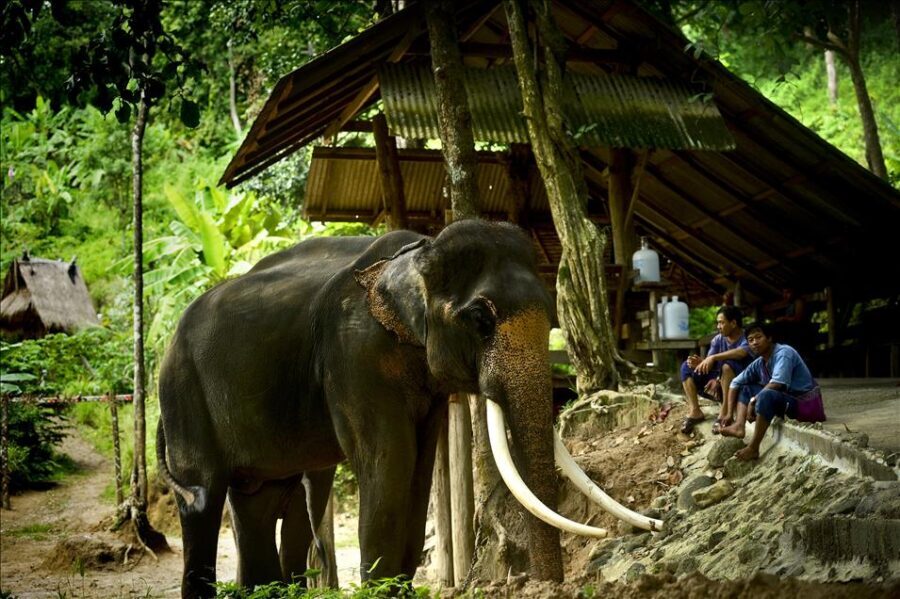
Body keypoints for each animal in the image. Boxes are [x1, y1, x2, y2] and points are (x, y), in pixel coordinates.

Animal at [156, 220, 660, 599]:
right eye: (480, 319)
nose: (549, 587)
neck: (418, 250)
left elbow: (418, 470)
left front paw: (399, 588)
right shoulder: (354, 353)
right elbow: (388, 462)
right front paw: (381, 590)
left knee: (257, 497)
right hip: (181, 392)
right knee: (202, 496)